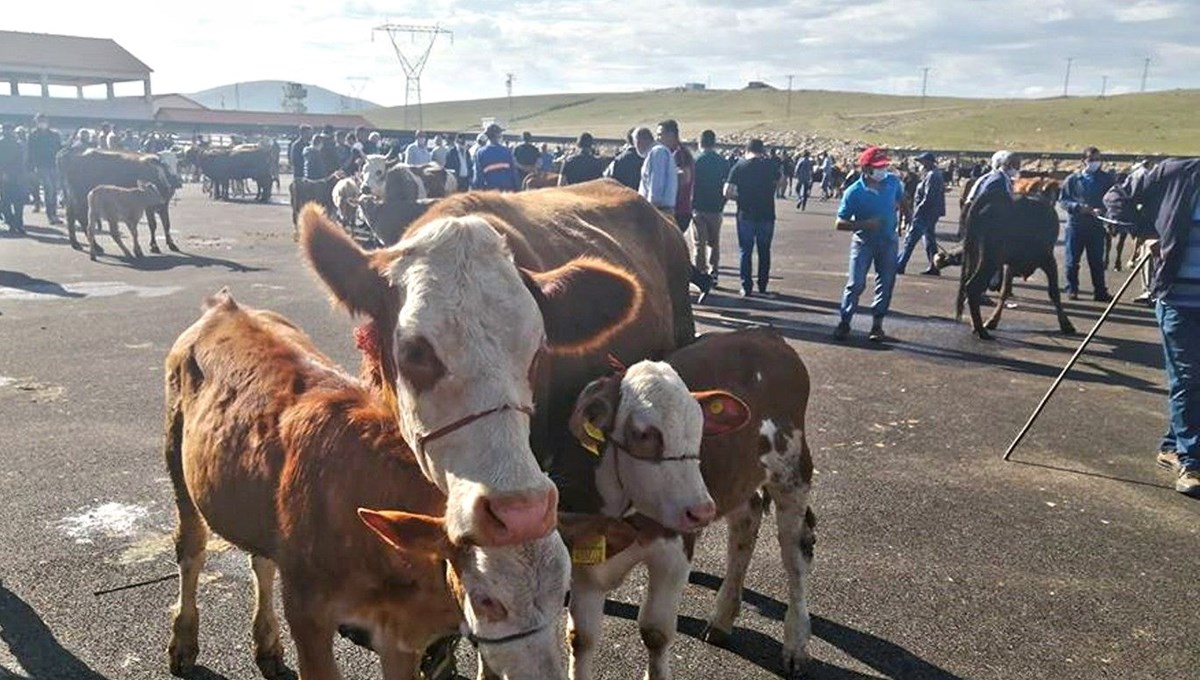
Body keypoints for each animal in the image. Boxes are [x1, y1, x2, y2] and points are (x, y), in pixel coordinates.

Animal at [164, 292, 571, 680]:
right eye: (487, 601)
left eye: (565, 595)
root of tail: (226, 307)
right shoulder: (307, 613)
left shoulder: (402, 635)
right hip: (175, 457)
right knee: (191, 549)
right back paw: (183, 643)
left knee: (261, 561)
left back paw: (267, 646)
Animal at [561, 328, 816, 676]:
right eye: (642, 434)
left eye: (700, 431)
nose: (701, 511)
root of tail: (765, 333)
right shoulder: (585, 559)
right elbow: (581, 638)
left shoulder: (675, 550)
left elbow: (655, 632)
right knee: (744, 530)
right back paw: (722, 618)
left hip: (793, 473)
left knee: (795, 557)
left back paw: (796, 643)